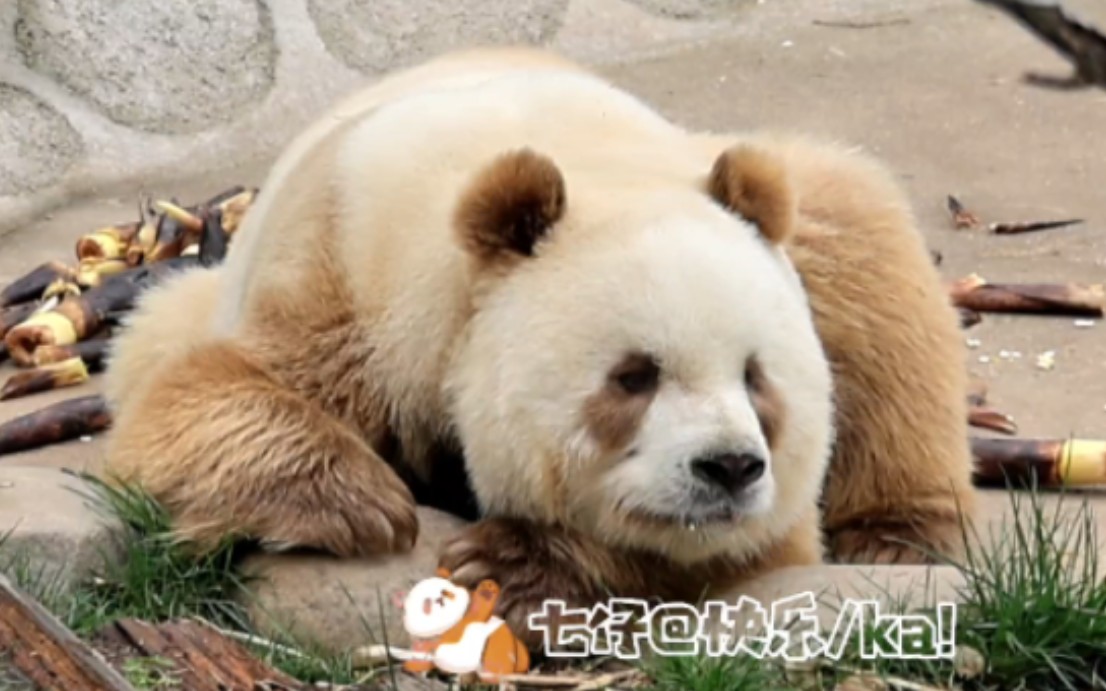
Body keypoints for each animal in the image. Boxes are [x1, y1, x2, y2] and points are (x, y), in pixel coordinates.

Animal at [100, 46, 977, 650]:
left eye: (757, 378)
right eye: (633, 376)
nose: (729, 467)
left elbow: (743, 551)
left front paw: (519, 563)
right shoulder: (336, 273)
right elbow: (189, 404)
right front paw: (360, 500)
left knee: (863, 243)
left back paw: (899, 532)